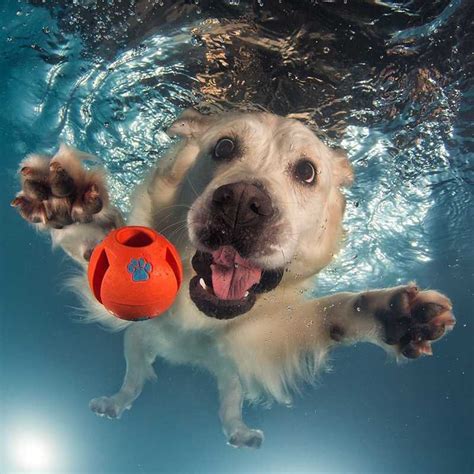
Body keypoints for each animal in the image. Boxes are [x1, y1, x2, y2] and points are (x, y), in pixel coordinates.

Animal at [12, 110, 456, 448]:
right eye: (224, 147)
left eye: (306, 171)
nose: (242, 203)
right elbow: (108, 245)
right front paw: (70, 205)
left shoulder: (261, 337)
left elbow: (327, 313)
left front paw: (393, 314)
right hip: (136, 345)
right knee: (134, 378)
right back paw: (115, 402)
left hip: (230, 375)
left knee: (228, 406)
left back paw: (241, 433)